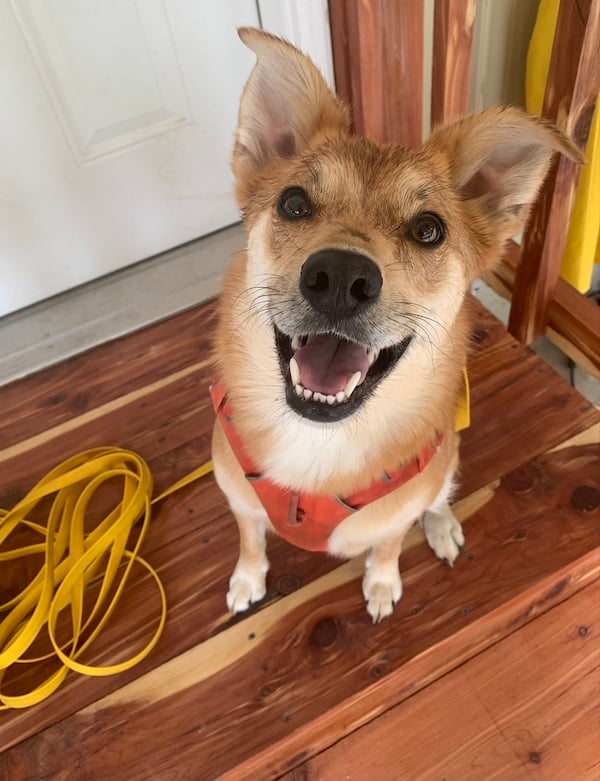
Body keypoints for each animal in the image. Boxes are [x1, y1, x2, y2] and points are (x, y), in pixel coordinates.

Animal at [211, 27, 580, 620]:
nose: (341, 278)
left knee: (439, 491)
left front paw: (382, 582)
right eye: (294, 203)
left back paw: (443, 525)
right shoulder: (238, 496)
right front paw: (248, 577)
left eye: (428, 230)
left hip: (446, 457)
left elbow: (387, 543)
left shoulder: (398, 510)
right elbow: (250, 537)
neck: (319, 445)